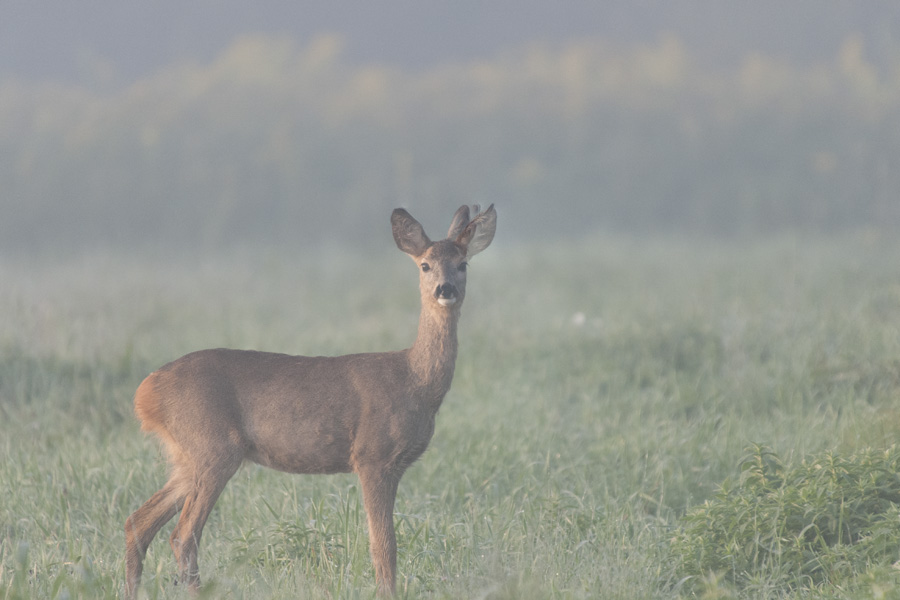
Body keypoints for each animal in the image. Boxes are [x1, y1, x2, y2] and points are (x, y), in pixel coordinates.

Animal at [123, 204, 496, 596]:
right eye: (425, 265)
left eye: (463, 264)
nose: (445, 289)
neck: (414, 381)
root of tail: (145, 392)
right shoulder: (373, 456)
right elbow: (384, 545)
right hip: (213, 447)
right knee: (183, 535)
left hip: (186, 458)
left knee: (137, 523)